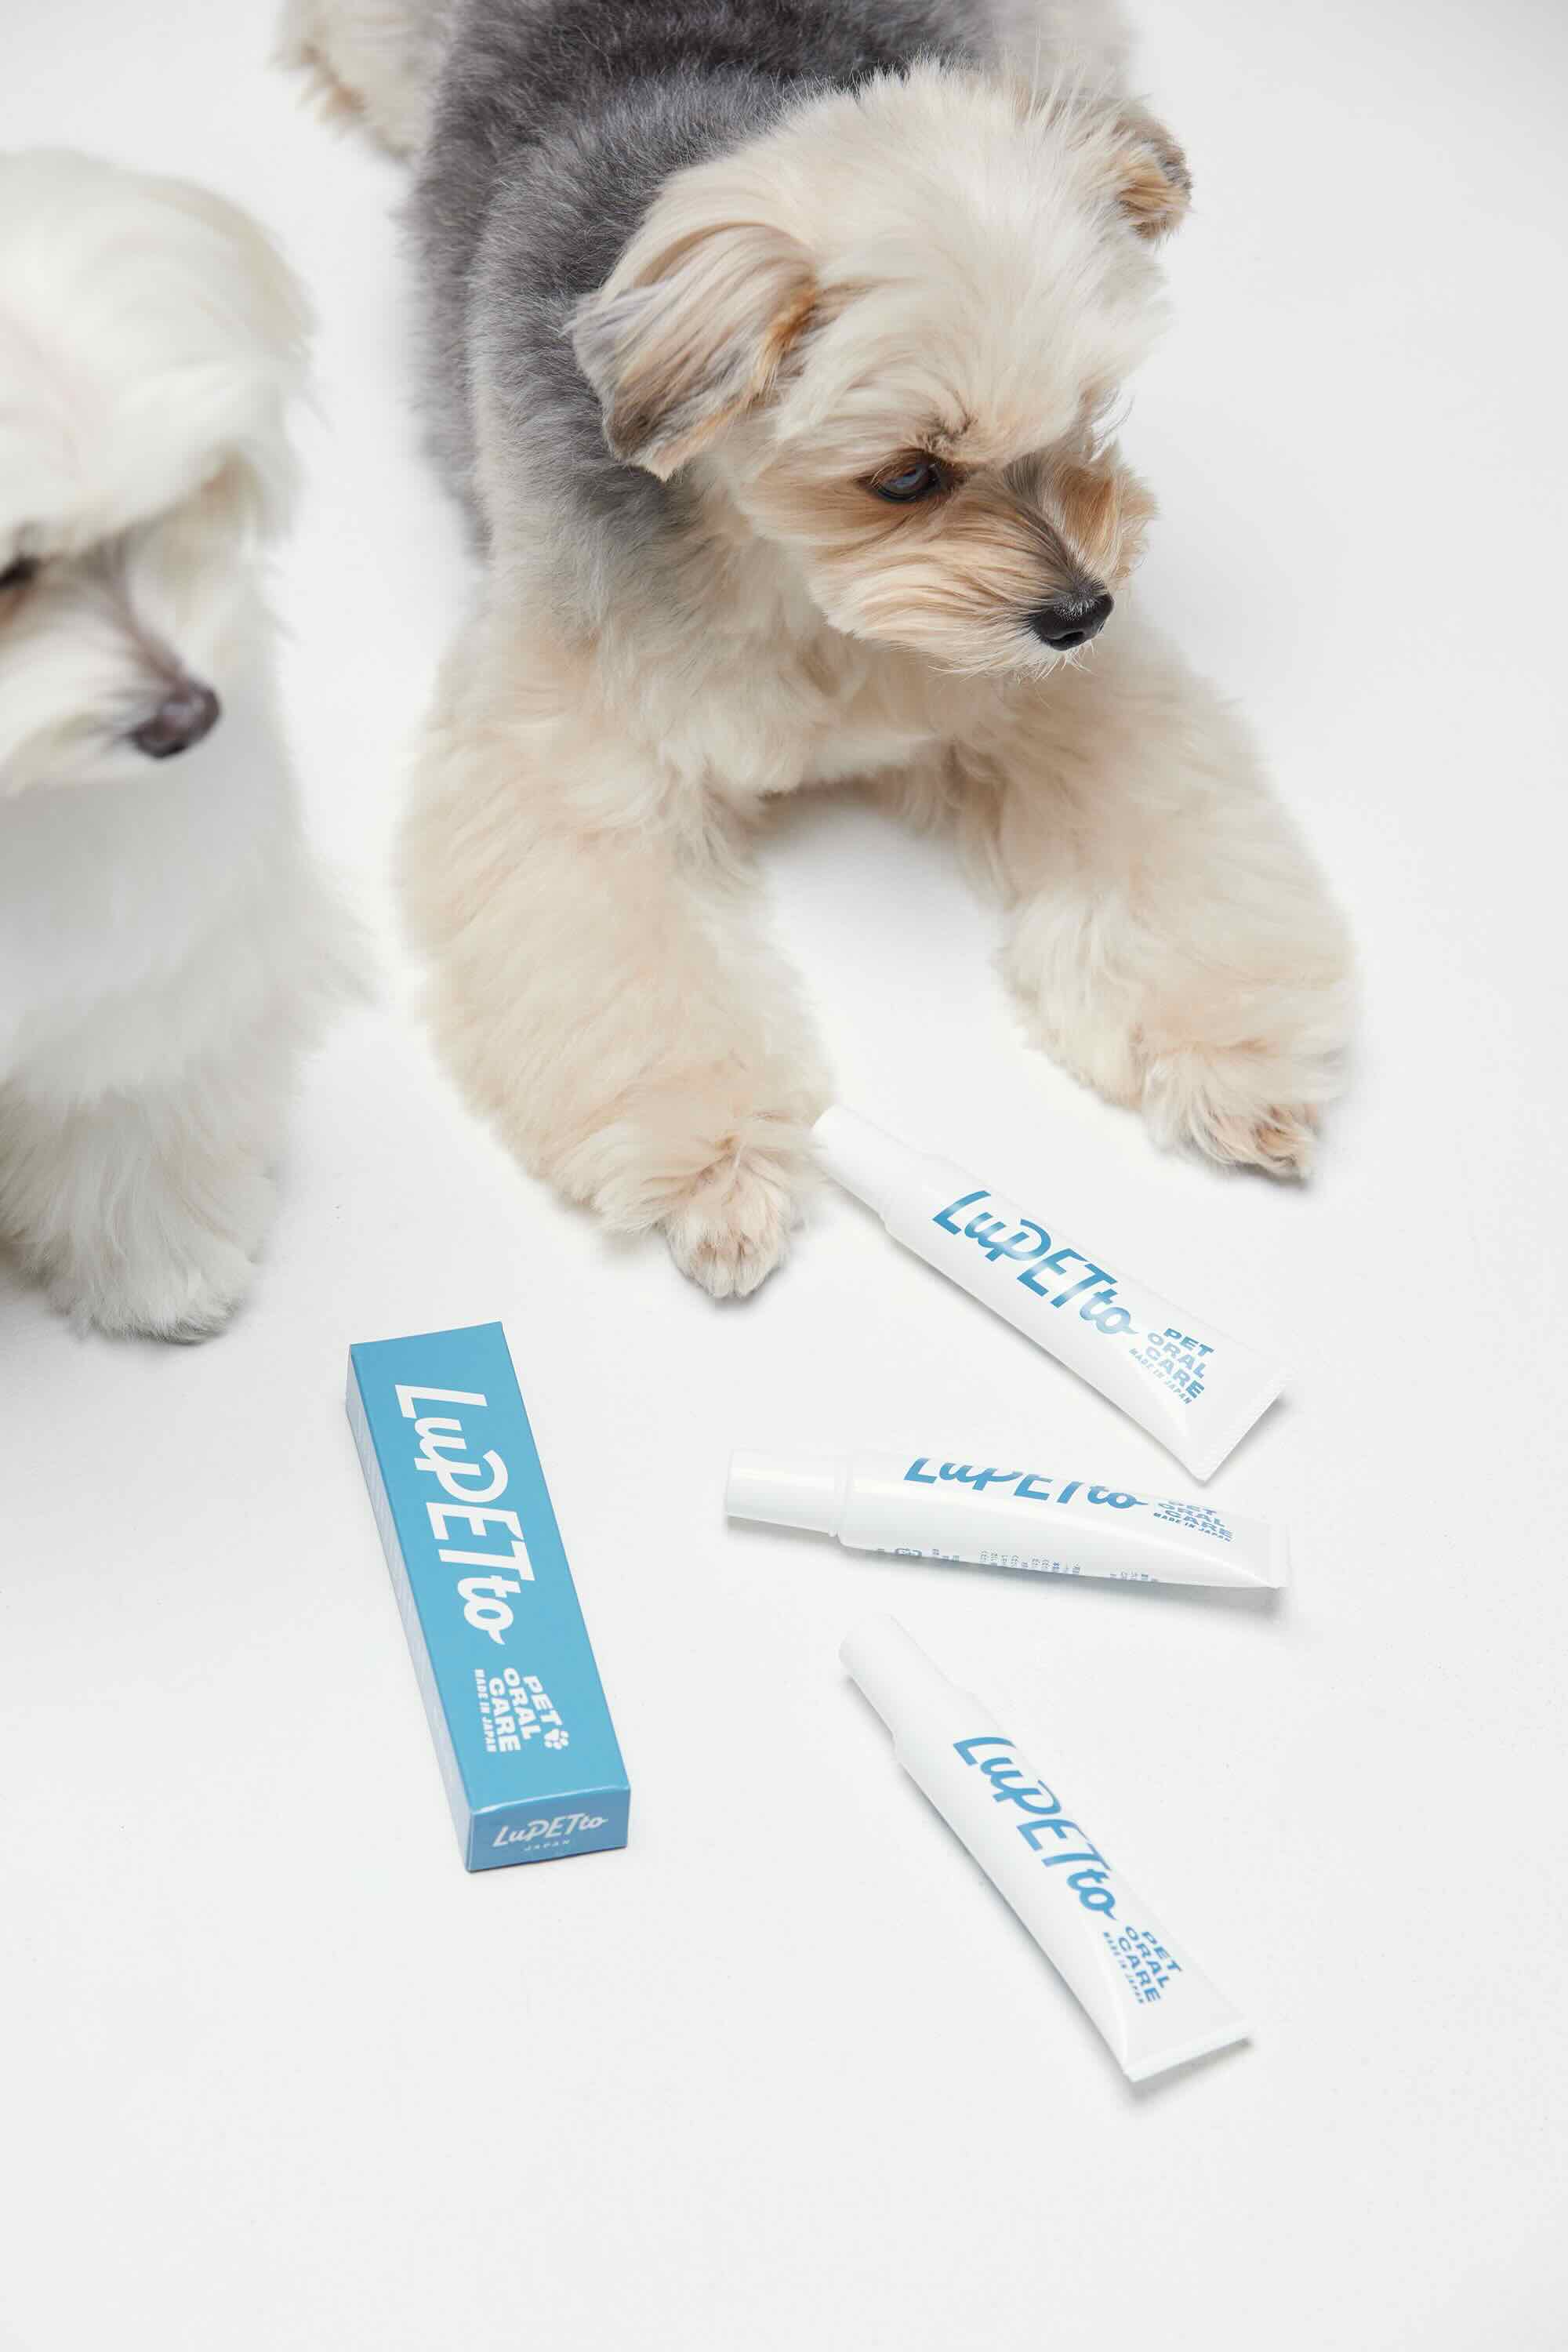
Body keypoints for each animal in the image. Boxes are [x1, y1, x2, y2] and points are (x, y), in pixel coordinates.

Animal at [0, 152, 351, 1338]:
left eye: (186, 492)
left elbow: (125, 1099)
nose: (186, 719)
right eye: (8, 571)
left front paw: (162, 1267)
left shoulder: (135, 963)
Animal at [286, 0, 1353, 1299]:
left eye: (1088, 415)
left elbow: (1160, 849)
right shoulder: (572, 752)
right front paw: (713, 1162)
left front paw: (1231, 1051)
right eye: (906, 476)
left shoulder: (1045, 695)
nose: (1080, 614)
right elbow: (630, 956)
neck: (796, 581)